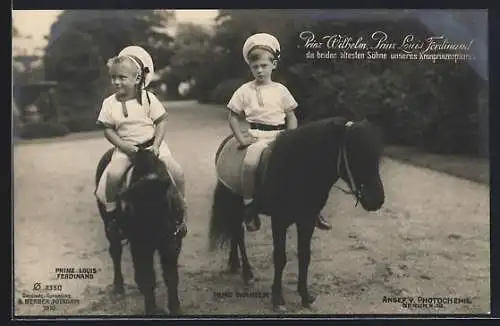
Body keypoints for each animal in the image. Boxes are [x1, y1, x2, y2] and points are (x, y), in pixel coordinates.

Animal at [95, 148, 184, 316]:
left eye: (167, 203)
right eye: (135, 208)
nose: (158, 237)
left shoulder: (172, 242)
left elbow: (171, 276)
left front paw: (175, 308)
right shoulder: (140, 245)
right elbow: (147, 277)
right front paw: (152, 309)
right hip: (109, 228)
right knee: (116, 252)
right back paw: (118, 287)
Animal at [209, 116, 384, 310]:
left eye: (376, 156)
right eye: (355, 154)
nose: (376, 199)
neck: (297, 168)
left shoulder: (306, 220)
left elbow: (304, 256)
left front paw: (305, 296)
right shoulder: (279, 220)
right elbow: (280, 258)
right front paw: (277, 299)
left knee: (235, 231)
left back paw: (235, 265)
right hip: (235, 201)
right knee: (238, 233)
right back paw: (247, 272)